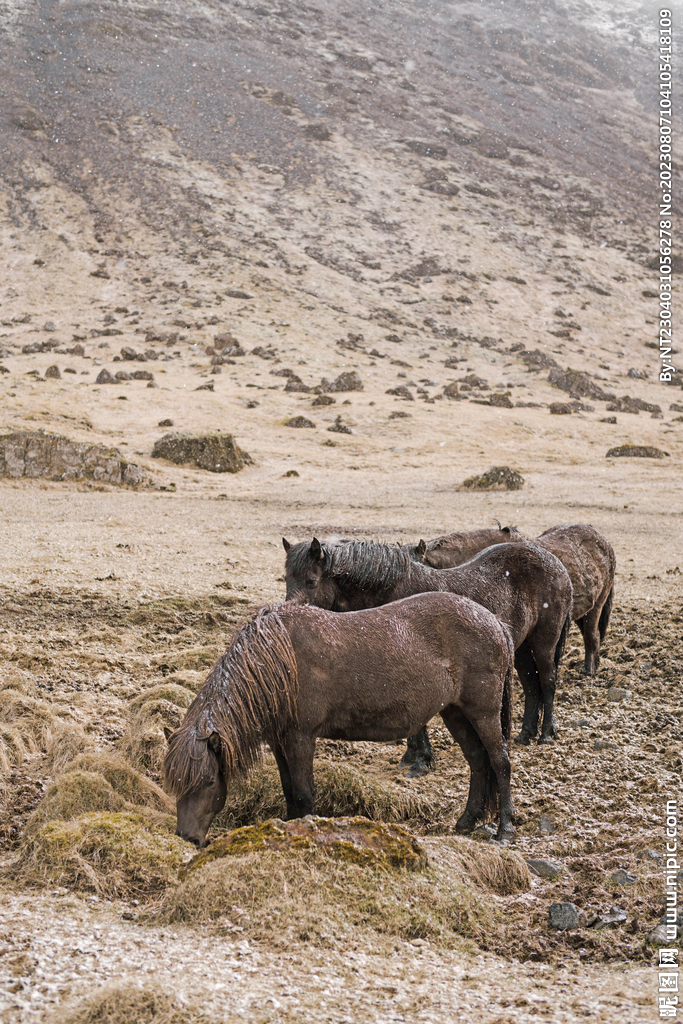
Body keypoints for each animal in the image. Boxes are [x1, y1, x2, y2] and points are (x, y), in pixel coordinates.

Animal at [164, 594, 516, 847]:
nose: (187, 838)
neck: (278, 663)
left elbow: (304, 792)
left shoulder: (301, 737)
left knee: (499, 762)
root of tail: (494, 621)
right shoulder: (280, 740)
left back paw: (505, 831)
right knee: (478, 761)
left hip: (483, 712)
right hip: (455, 712)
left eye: (210, 782)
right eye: (176, 784)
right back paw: (466, 822)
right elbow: (288, 788)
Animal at [283, 538, 573, 772]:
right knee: (531, 685)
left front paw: (422, 760)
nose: (288, 616)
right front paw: (412, 756)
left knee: (547, 681)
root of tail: (557, 564)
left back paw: (546, 734)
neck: (391, 593)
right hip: (521, 647)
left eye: (311, 582)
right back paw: (525, 734)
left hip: (544, 641)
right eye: (286, 579)